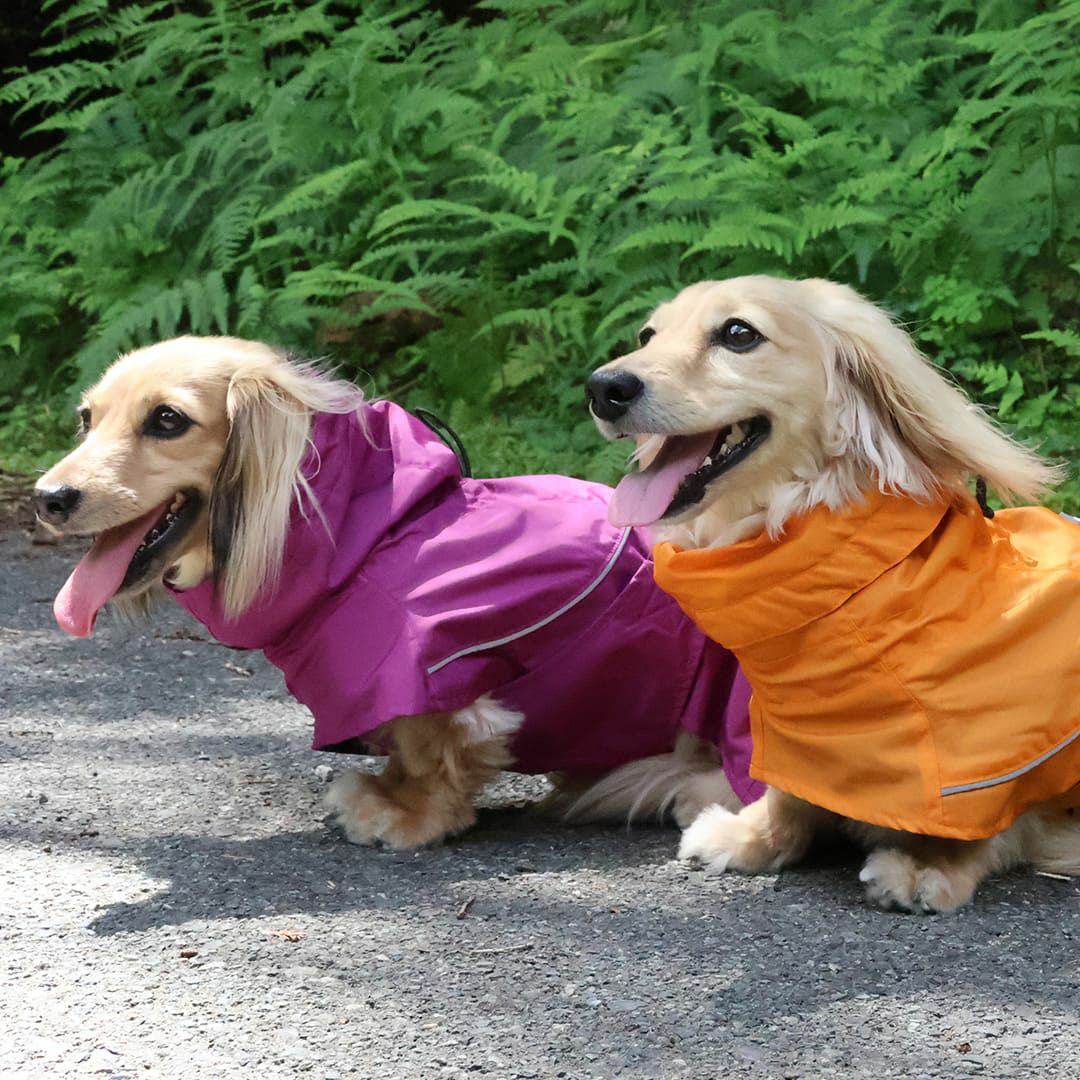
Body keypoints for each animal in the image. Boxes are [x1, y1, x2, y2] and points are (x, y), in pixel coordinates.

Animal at [34, 335, 763, 849]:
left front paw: (406, 812)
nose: (47, 498)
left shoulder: (427, 666)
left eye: (167, 420)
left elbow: (430, 747)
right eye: (86, 419)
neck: (368, 537)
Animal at [587, 275, 1080, 912]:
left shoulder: (983, 744)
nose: (604, 388)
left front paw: (928, 866)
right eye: (649, 334)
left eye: (738, 333)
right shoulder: (802, 733)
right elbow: (790, 794)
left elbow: (969, 814)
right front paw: (751, 837)